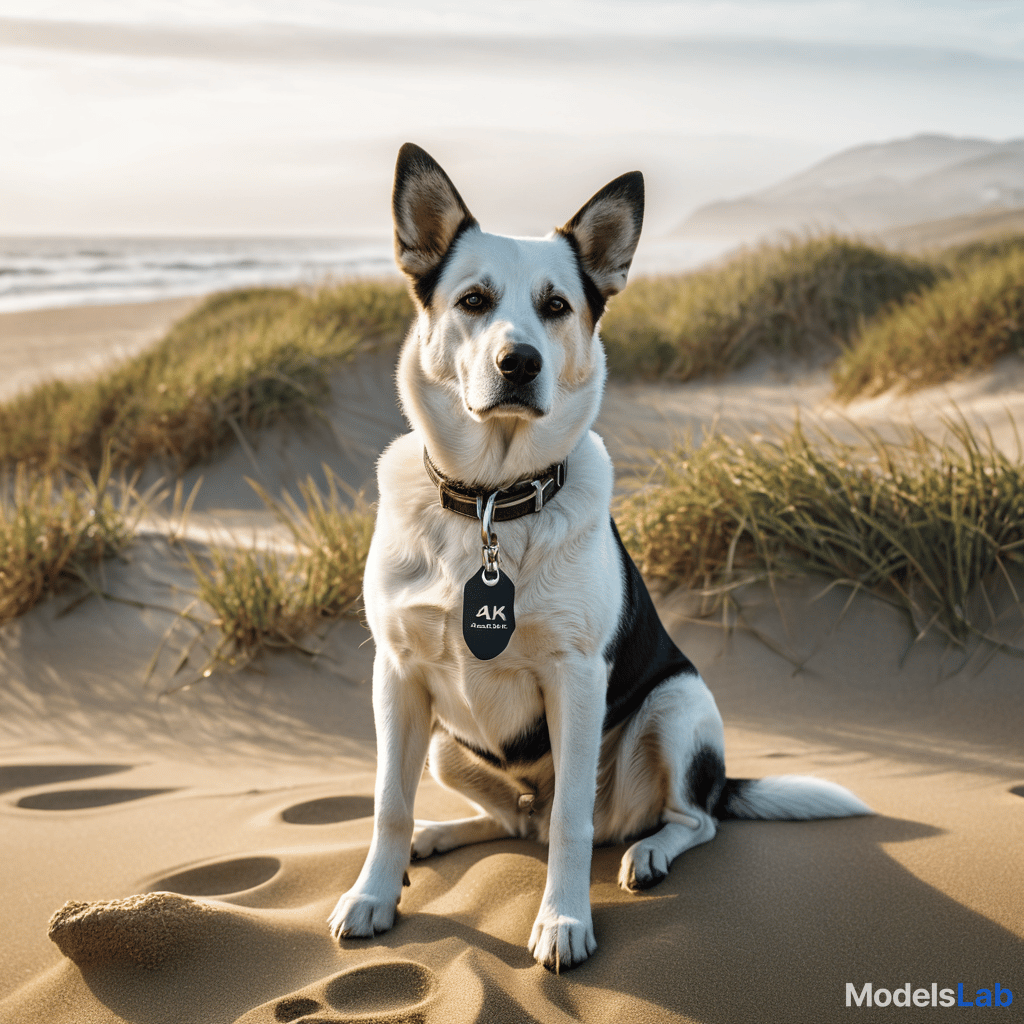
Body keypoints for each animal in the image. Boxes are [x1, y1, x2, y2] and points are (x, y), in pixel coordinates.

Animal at [323, 142, 868, 966]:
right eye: (473, 300)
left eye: (556, 307)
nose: (519, 363)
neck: (493, 500)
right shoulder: (400, 673)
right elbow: (389, 802)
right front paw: (373, 894)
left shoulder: (577, 680)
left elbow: (572, 824)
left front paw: (563, 920)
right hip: (450, 746)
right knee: (515, 821)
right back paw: (440, 833)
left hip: (676, 706)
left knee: (684, 818)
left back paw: (647, 853)